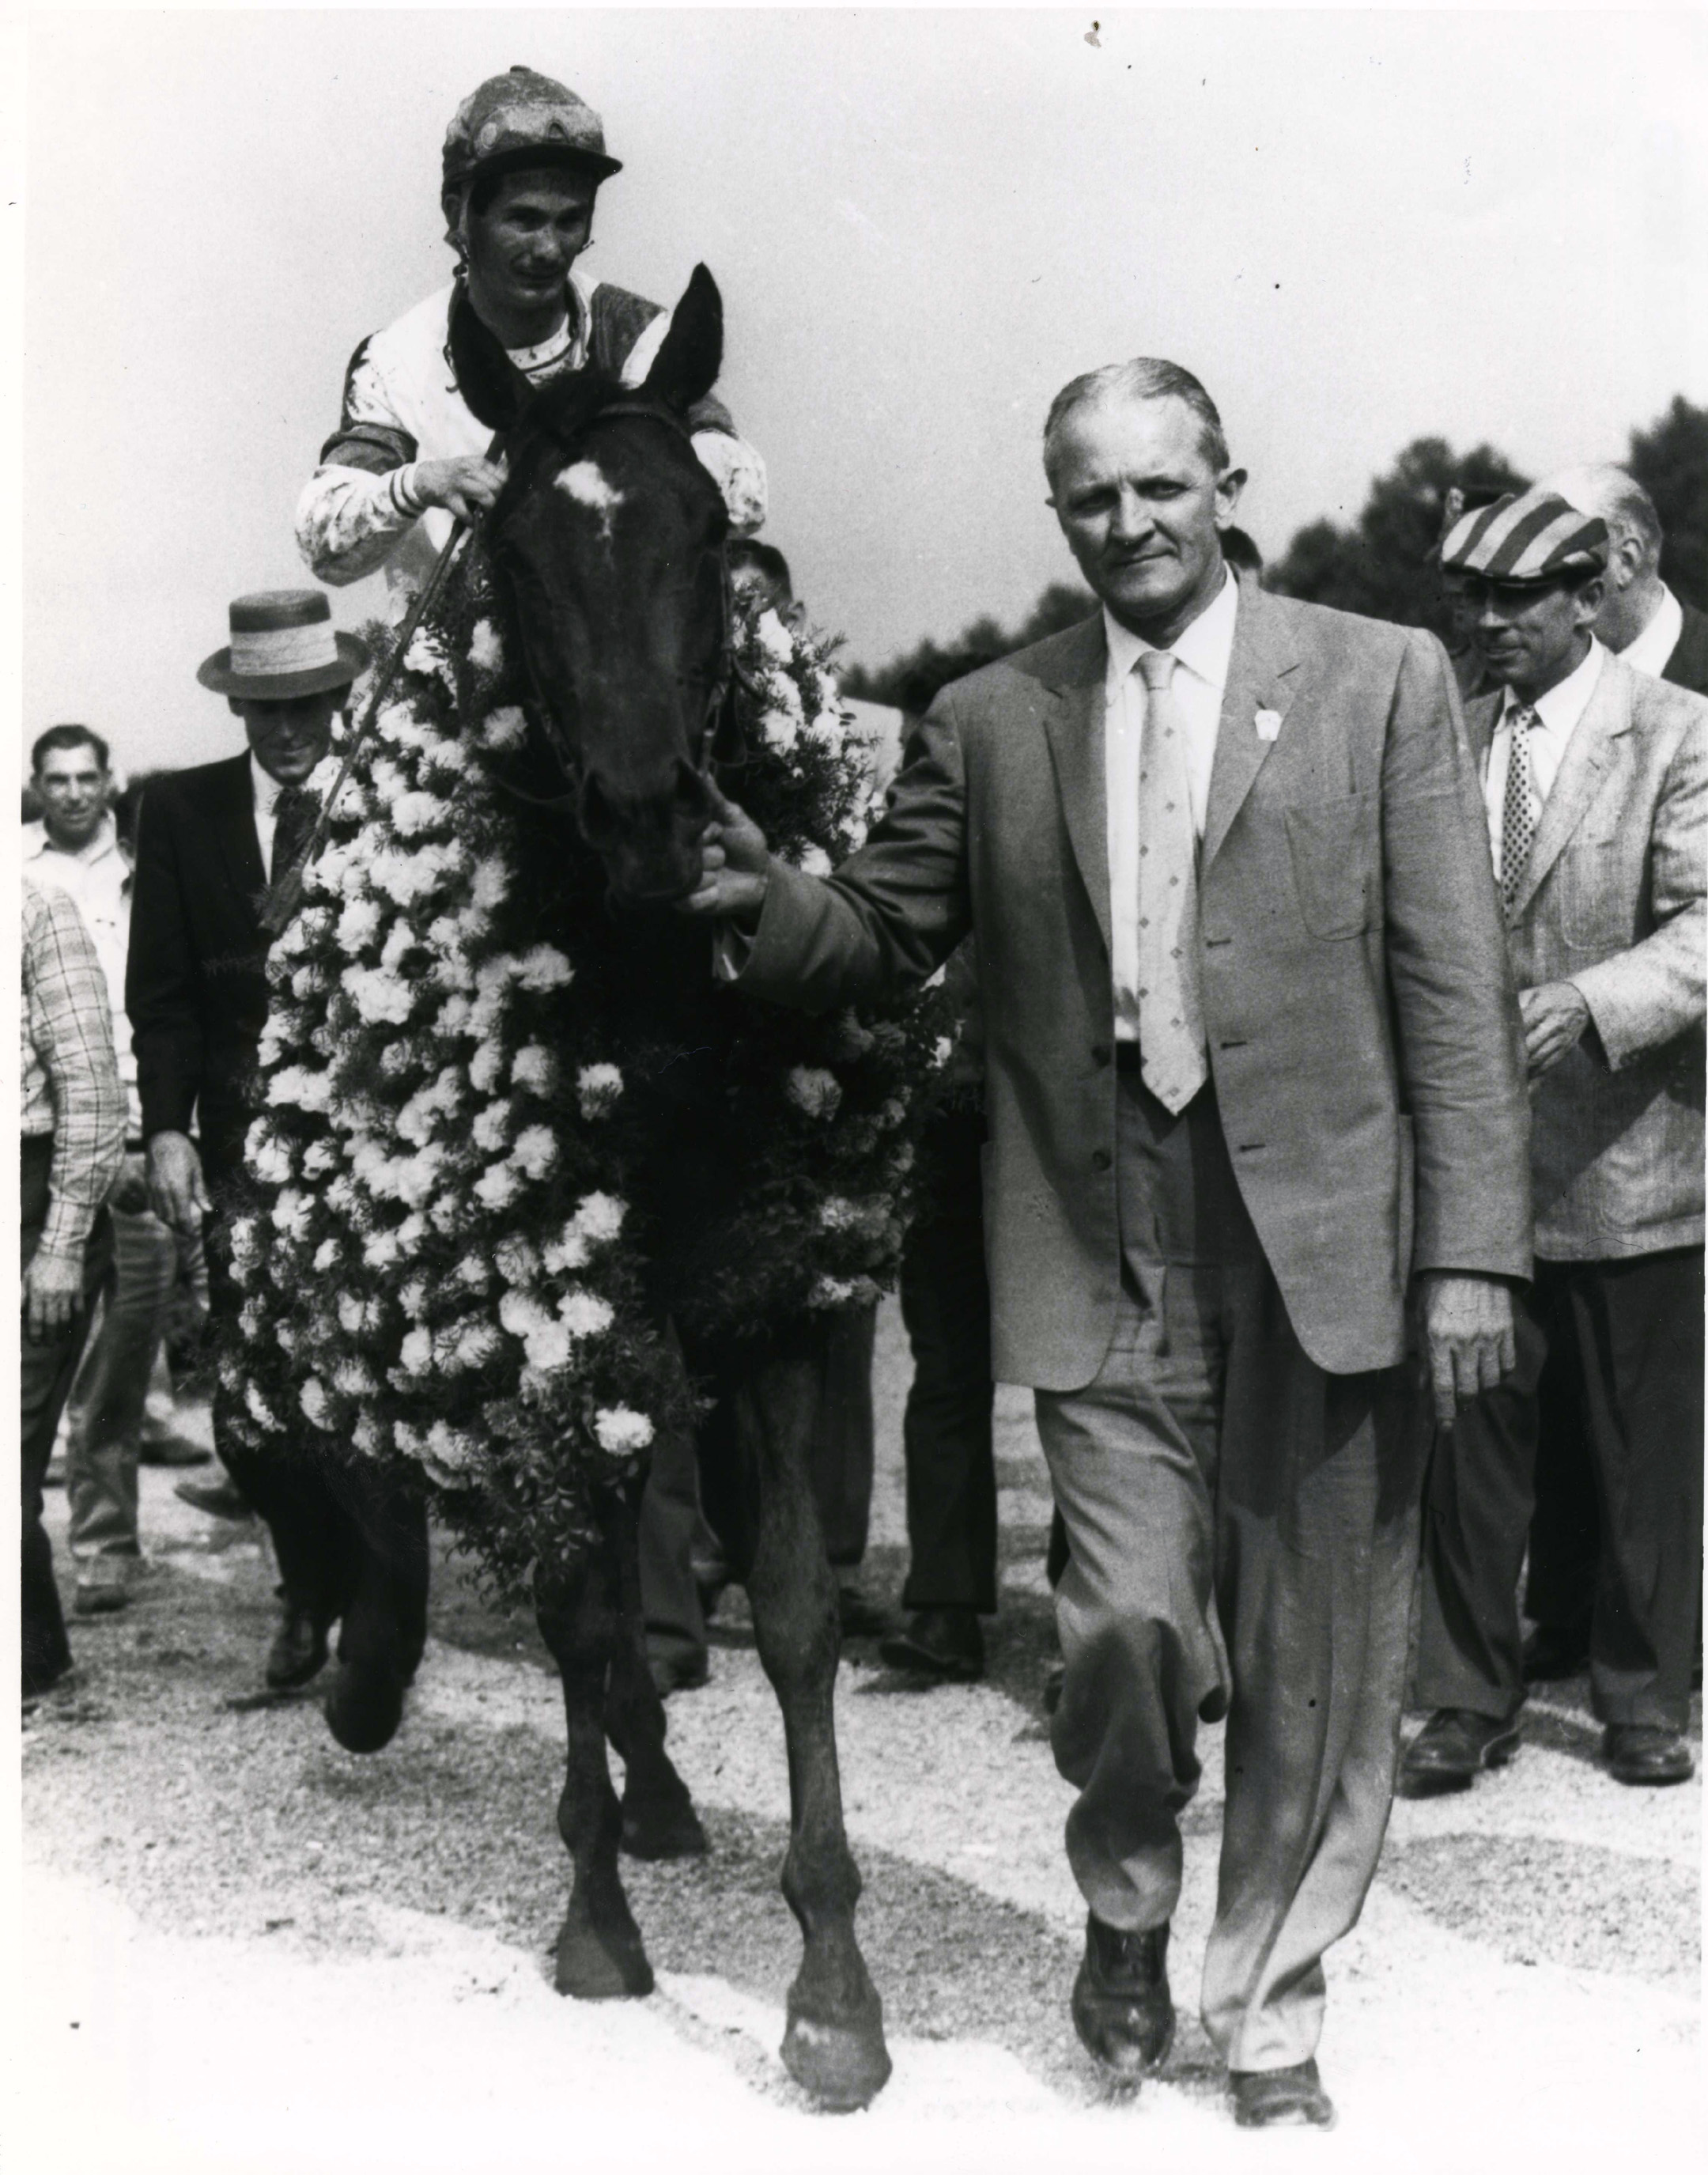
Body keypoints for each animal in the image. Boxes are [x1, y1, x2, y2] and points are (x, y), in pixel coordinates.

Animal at [232, 267, 927, 2105]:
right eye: (520, 561)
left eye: (710, 536)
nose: (645, 819)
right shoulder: (533, 1300)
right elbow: (576, 1603)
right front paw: (597, 1924)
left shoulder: (768, 1300)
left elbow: (794, 1617)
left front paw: (833, 1991)